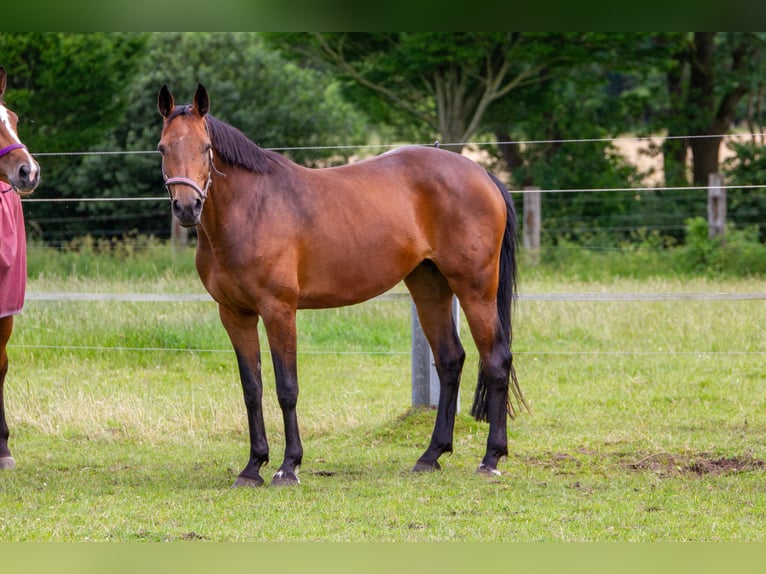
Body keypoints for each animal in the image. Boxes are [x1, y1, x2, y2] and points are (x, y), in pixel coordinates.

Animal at [156, 84, 528, 490]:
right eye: (162, 148)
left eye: (205, 147)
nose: (187, 208)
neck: (251, 208)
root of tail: (481, 174)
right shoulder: (235, 315)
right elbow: (252, 389)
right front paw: (253, 467)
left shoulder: (278, 310)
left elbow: (287, 388)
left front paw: (288, 466)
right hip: (430, 287)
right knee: (449, 360)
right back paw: (431, 455)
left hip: (475, 288)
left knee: (496, 360)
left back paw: (491, 458)